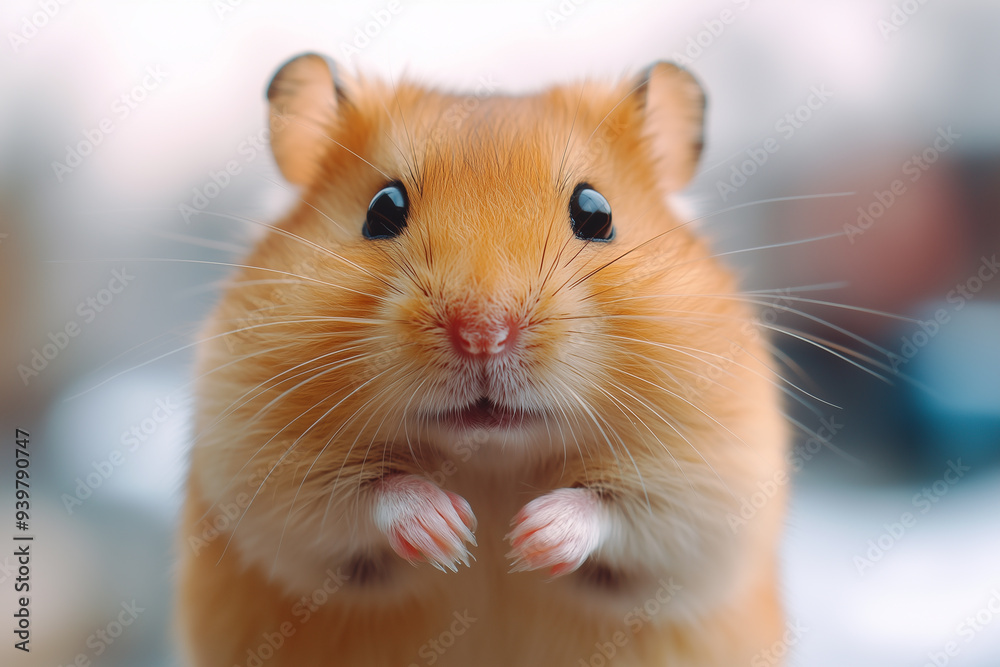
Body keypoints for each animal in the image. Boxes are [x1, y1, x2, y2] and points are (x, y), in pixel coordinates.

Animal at [177, 53, 789, 667]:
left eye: (596, 213)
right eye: (382, 209)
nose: (482, 334)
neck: (492, 458)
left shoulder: (708, 485)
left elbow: (616, 511)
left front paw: (526, 539)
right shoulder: (256, 462)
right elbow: (365, 494)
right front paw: (455, 535)